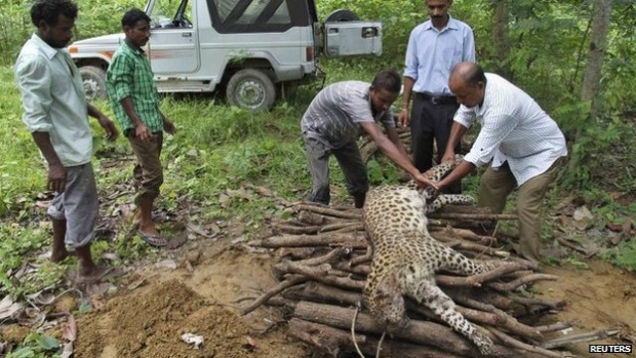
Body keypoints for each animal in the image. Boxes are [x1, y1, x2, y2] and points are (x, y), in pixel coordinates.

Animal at [362, 157, 496, 356]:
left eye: (387, 319)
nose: (399, 329)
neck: (396, 279)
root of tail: (372, 190)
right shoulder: (426, 291)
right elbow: (454, 318)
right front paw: (480, 340)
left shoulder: (445, 253)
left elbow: (471, 267)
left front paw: (491, 268)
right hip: (425, 202)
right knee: (439, 197)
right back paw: (466, 198)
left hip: (415, 184)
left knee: (434, 171)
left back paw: (456, 160)